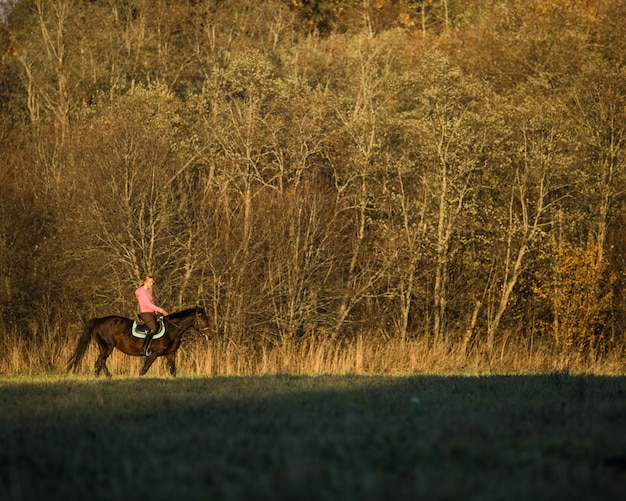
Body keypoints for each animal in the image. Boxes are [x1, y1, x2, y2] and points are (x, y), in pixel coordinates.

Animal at [67, 304, 211, 376]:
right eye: (202, 319)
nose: (210, 336)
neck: (171, 330)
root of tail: (98, 321)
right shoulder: (154, 354)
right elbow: (144, 370)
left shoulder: (170, 354)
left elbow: (173, 371)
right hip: (107, 347)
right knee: (101, 361)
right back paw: (109, 376)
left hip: (103, 347)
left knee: (98, 363)